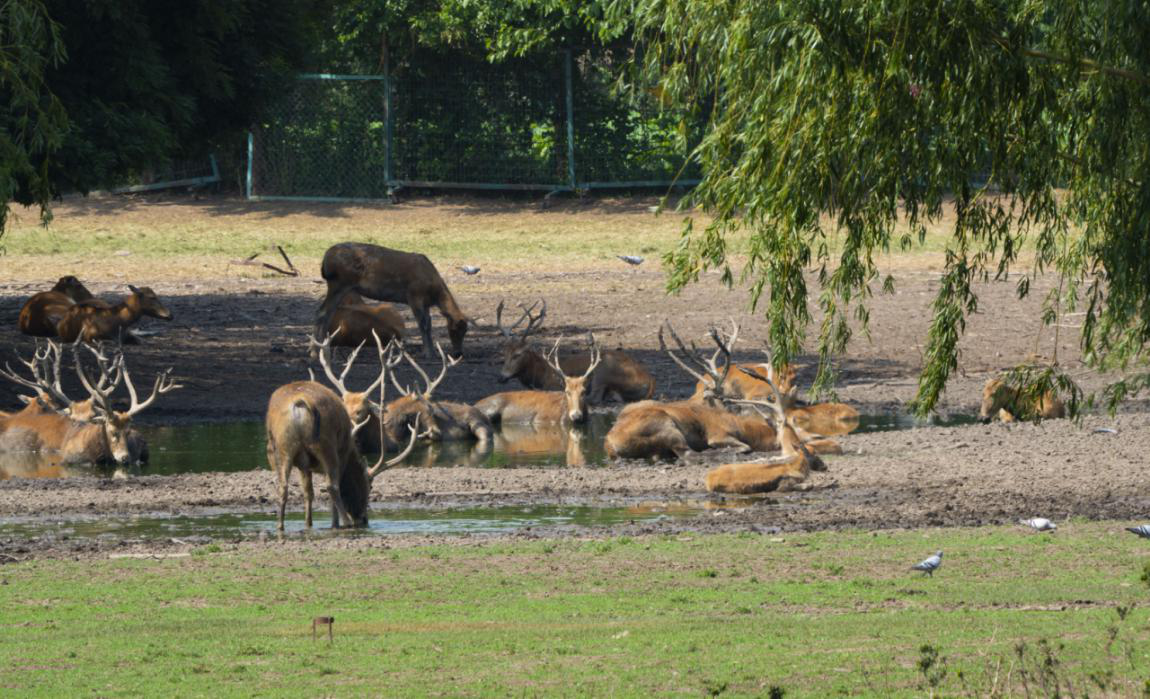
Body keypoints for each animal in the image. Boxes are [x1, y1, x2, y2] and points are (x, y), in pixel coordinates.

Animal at [266, 333, 425, 528]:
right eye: (370, 485)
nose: (364, 519)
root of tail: (301, 402)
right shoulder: (341, 455)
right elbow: (336, 488)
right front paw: (336, 523)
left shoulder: (305, 465)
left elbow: (308, 492)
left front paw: (309, 524)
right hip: (326, 445)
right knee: (332, 485)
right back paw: (346, 522)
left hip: (283, 446)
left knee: (283, 487)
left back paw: (280, 526)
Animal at [315, 241, 466, 360]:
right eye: (454, 329)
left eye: (465, 331)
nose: (458, 353)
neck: (434, 293)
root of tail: (325, 260)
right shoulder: (414, 296)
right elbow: (423, 324)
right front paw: (428, 353)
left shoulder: (425, 303)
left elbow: (428, 324)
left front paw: (432, 352)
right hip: (339, 283)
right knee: (322, 312)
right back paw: (316, 353)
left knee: (325, 314)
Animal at [496, 296, 657, 402]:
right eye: (504, 353)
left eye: (518, 354)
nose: (501, 377)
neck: (539, 375)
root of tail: (650, 383)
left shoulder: (553, 384)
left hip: (604, 368)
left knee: (594, 397)